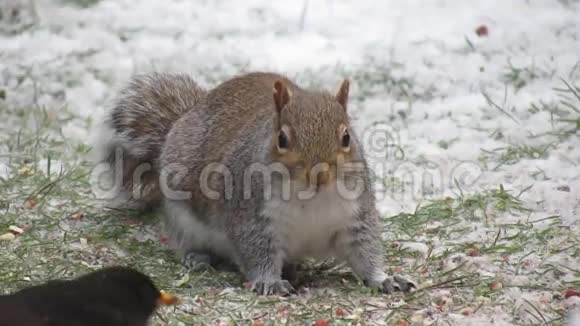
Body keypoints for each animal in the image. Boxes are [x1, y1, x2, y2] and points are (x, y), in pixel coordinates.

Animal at [93, 72, 414, 296]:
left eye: (347, 137)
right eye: (282, 139)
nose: (319, 174)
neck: (311, 197)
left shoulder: (354, 215)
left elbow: (364, 251)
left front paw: (384, 279)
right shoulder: (252, 216)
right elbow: (256, 251)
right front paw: (270, 282)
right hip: (180, 213)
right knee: (184, 239)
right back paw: (197, 257)